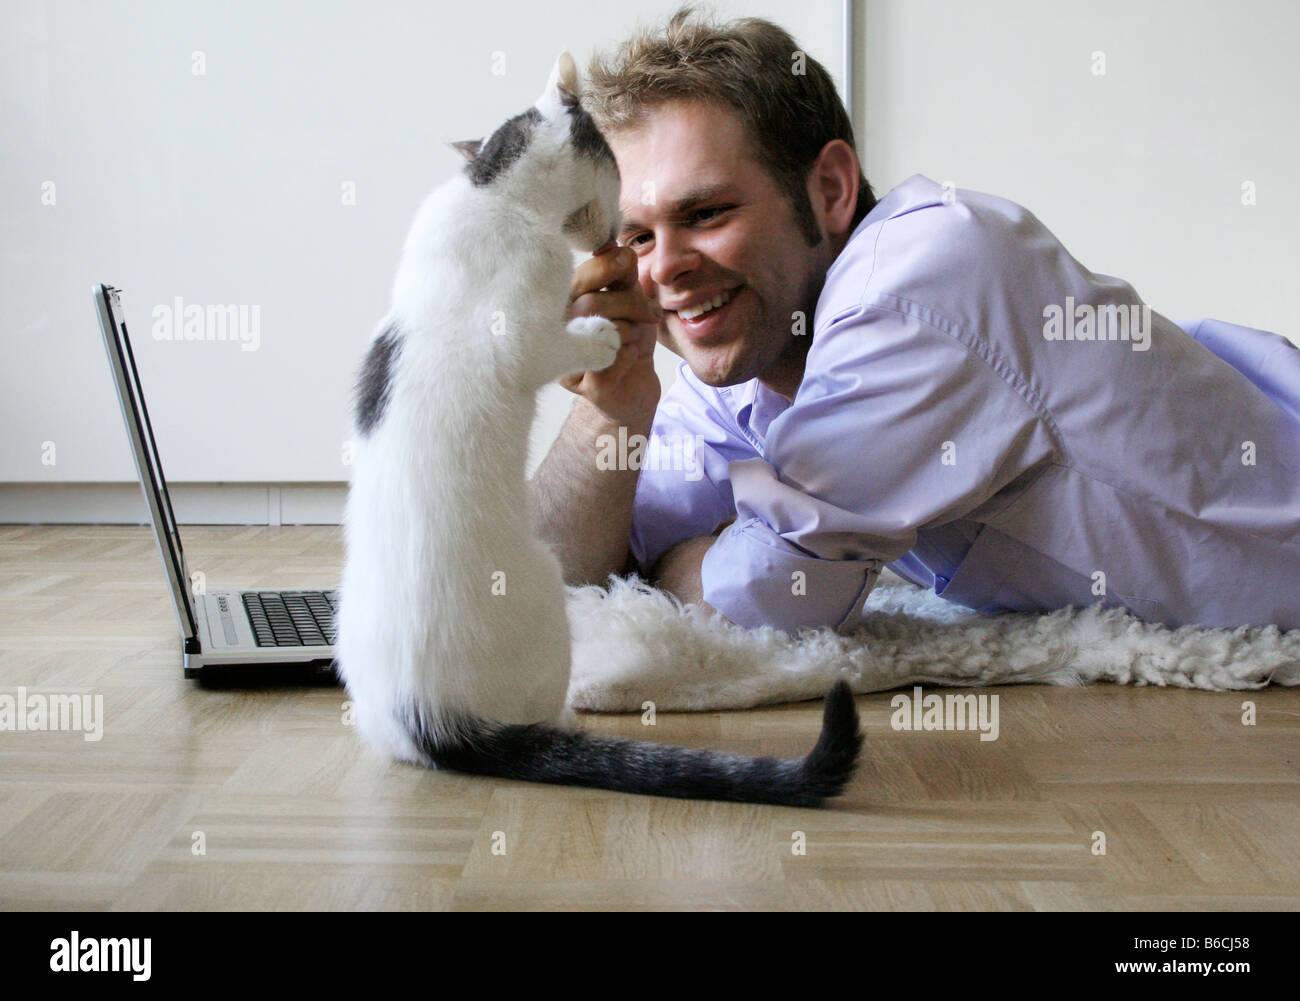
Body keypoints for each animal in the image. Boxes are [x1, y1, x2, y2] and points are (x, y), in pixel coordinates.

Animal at [335, 50, 863, 806]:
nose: (620, 239)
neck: (491, 192)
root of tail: (430, 721)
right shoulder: (516, 330)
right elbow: (548, 345)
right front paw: (599, 336)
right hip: (545, 588)